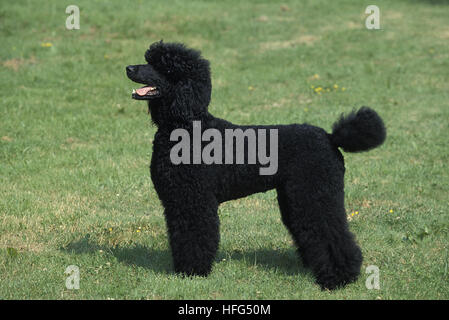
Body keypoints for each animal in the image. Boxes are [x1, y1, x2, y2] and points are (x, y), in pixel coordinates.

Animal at [125, 40, 384, 290]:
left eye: (163, 67)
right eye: (149, 59)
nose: (128, 68)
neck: (186, 126)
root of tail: (331, 138)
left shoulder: (194, 200)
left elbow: (195, 236)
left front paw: (192, 272)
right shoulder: (177, 201)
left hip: (315, 194)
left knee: (331, 231)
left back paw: (337, 278)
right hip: (293, 197)